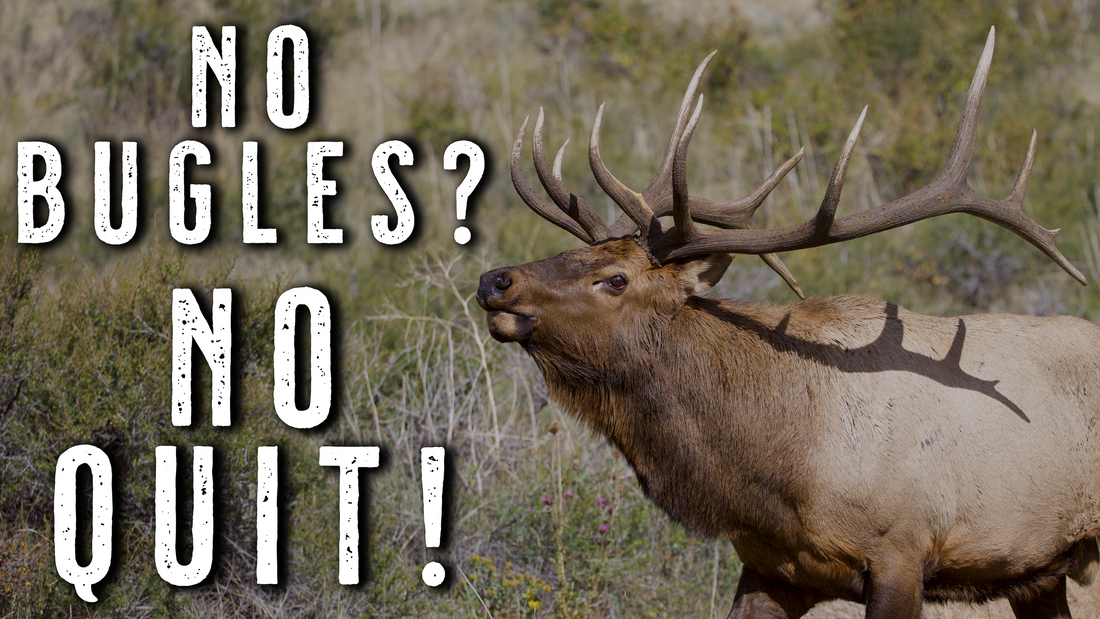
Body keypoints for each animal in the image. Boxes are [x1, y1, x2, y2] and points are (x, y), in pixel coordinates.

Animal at [476, 27, 1100, 619]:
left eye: (615, 279)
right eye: (574, 253)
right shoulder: (772, 567)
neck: (776, 472)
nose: (494, 280)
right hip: (1039, 574)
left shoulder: (902, 551)